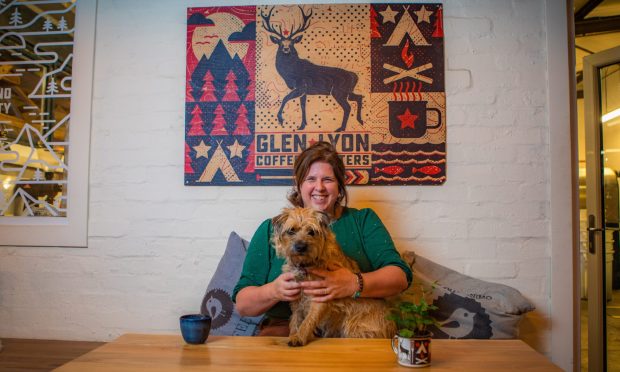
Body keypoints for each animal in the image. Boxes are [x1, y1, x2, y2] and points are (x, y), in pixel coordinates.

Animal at [272, 206, 398, 346]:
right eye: (291, 231)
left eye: (312, 232)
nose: (301, 246)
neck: (306, 264)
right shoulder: (296, 299)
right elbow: (295, 320)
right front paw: (293, 334)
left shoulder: (320, 297)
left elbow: (308, 320)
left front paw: (299, 336)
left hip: (354, 327)